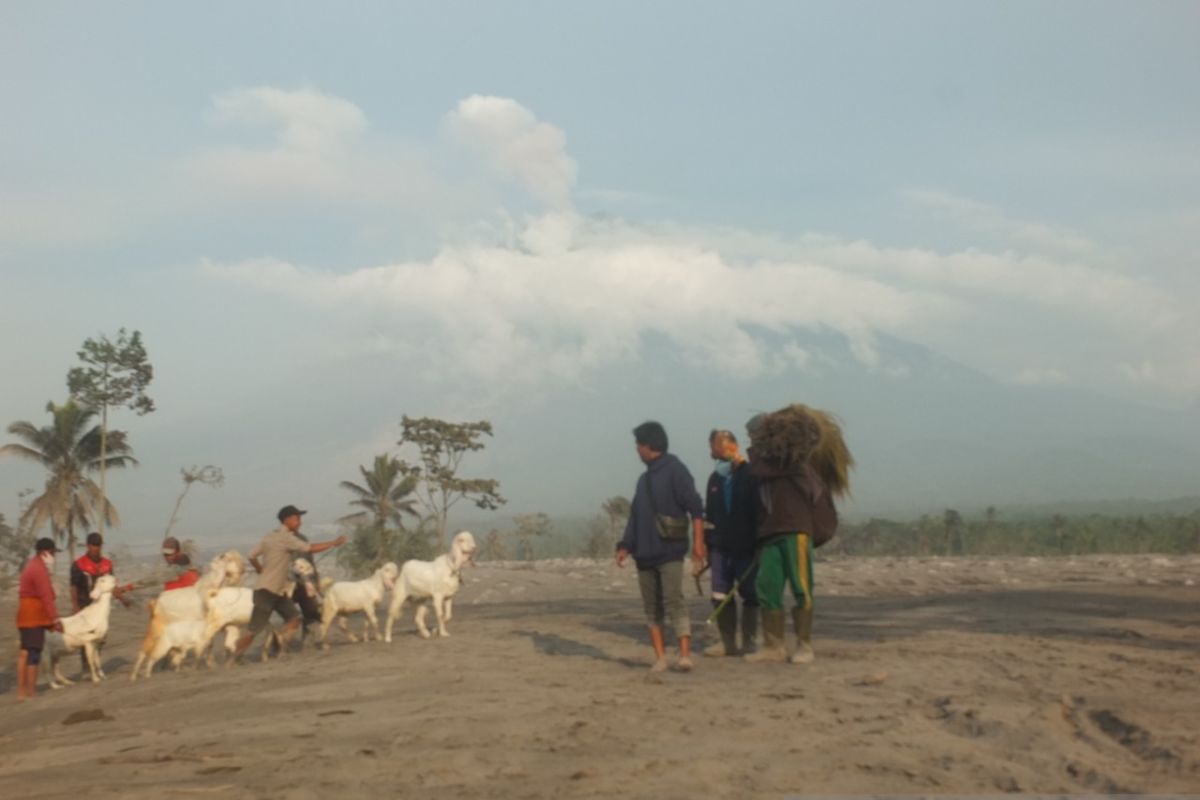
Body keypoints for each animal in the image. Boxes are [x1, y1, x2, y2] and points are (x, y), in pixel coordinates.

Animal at [131, 551, 246, 681]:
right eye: (229, 559)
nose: (243, 570)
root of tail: (155, 602)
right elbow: (209, 644)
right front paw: (210, 663)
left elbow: (222, 642)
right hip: (156, 629)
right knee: (144, 650)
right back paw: (135, 675)